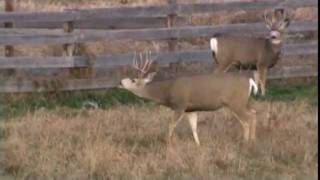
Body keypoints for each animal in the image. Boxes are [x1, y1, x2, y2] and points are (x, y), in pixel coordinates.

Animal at [119, 50, 258, 146]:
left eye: (133, 80)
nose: (120, 82)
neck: (167, 91)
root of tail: (250, 81)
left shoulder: (180, 105)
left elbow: (170, 125)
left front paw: (168, 144)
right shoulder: (191, 110)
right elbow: (194, 128)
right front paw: (198, 145)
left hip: (236, 102)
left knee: (248, 118)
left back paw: (246, 142)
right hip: (244, 102)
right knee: (253, 113)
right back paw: (252, 139)